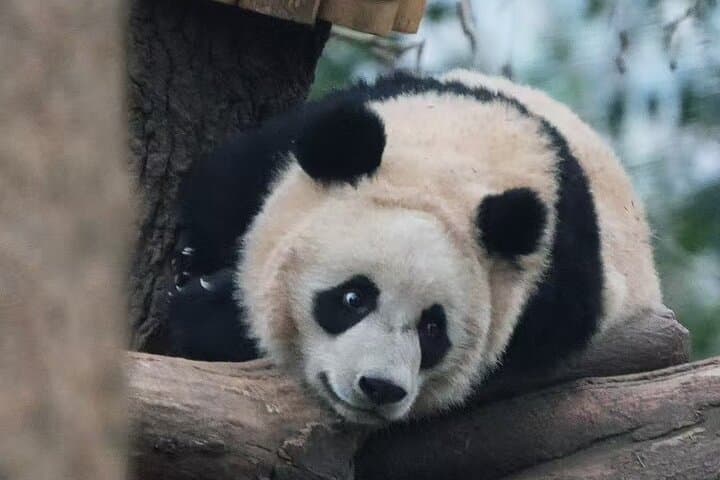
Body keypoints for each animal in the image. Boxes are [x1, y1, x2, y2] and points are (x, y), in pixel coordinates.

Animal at [167, 69, 662, 424]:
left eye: (433, 329)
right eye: (353, 298)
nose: (380, 387)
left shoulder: (551, 299)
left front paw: (204, 312)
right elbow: (226, 188)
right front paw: (197, 271)